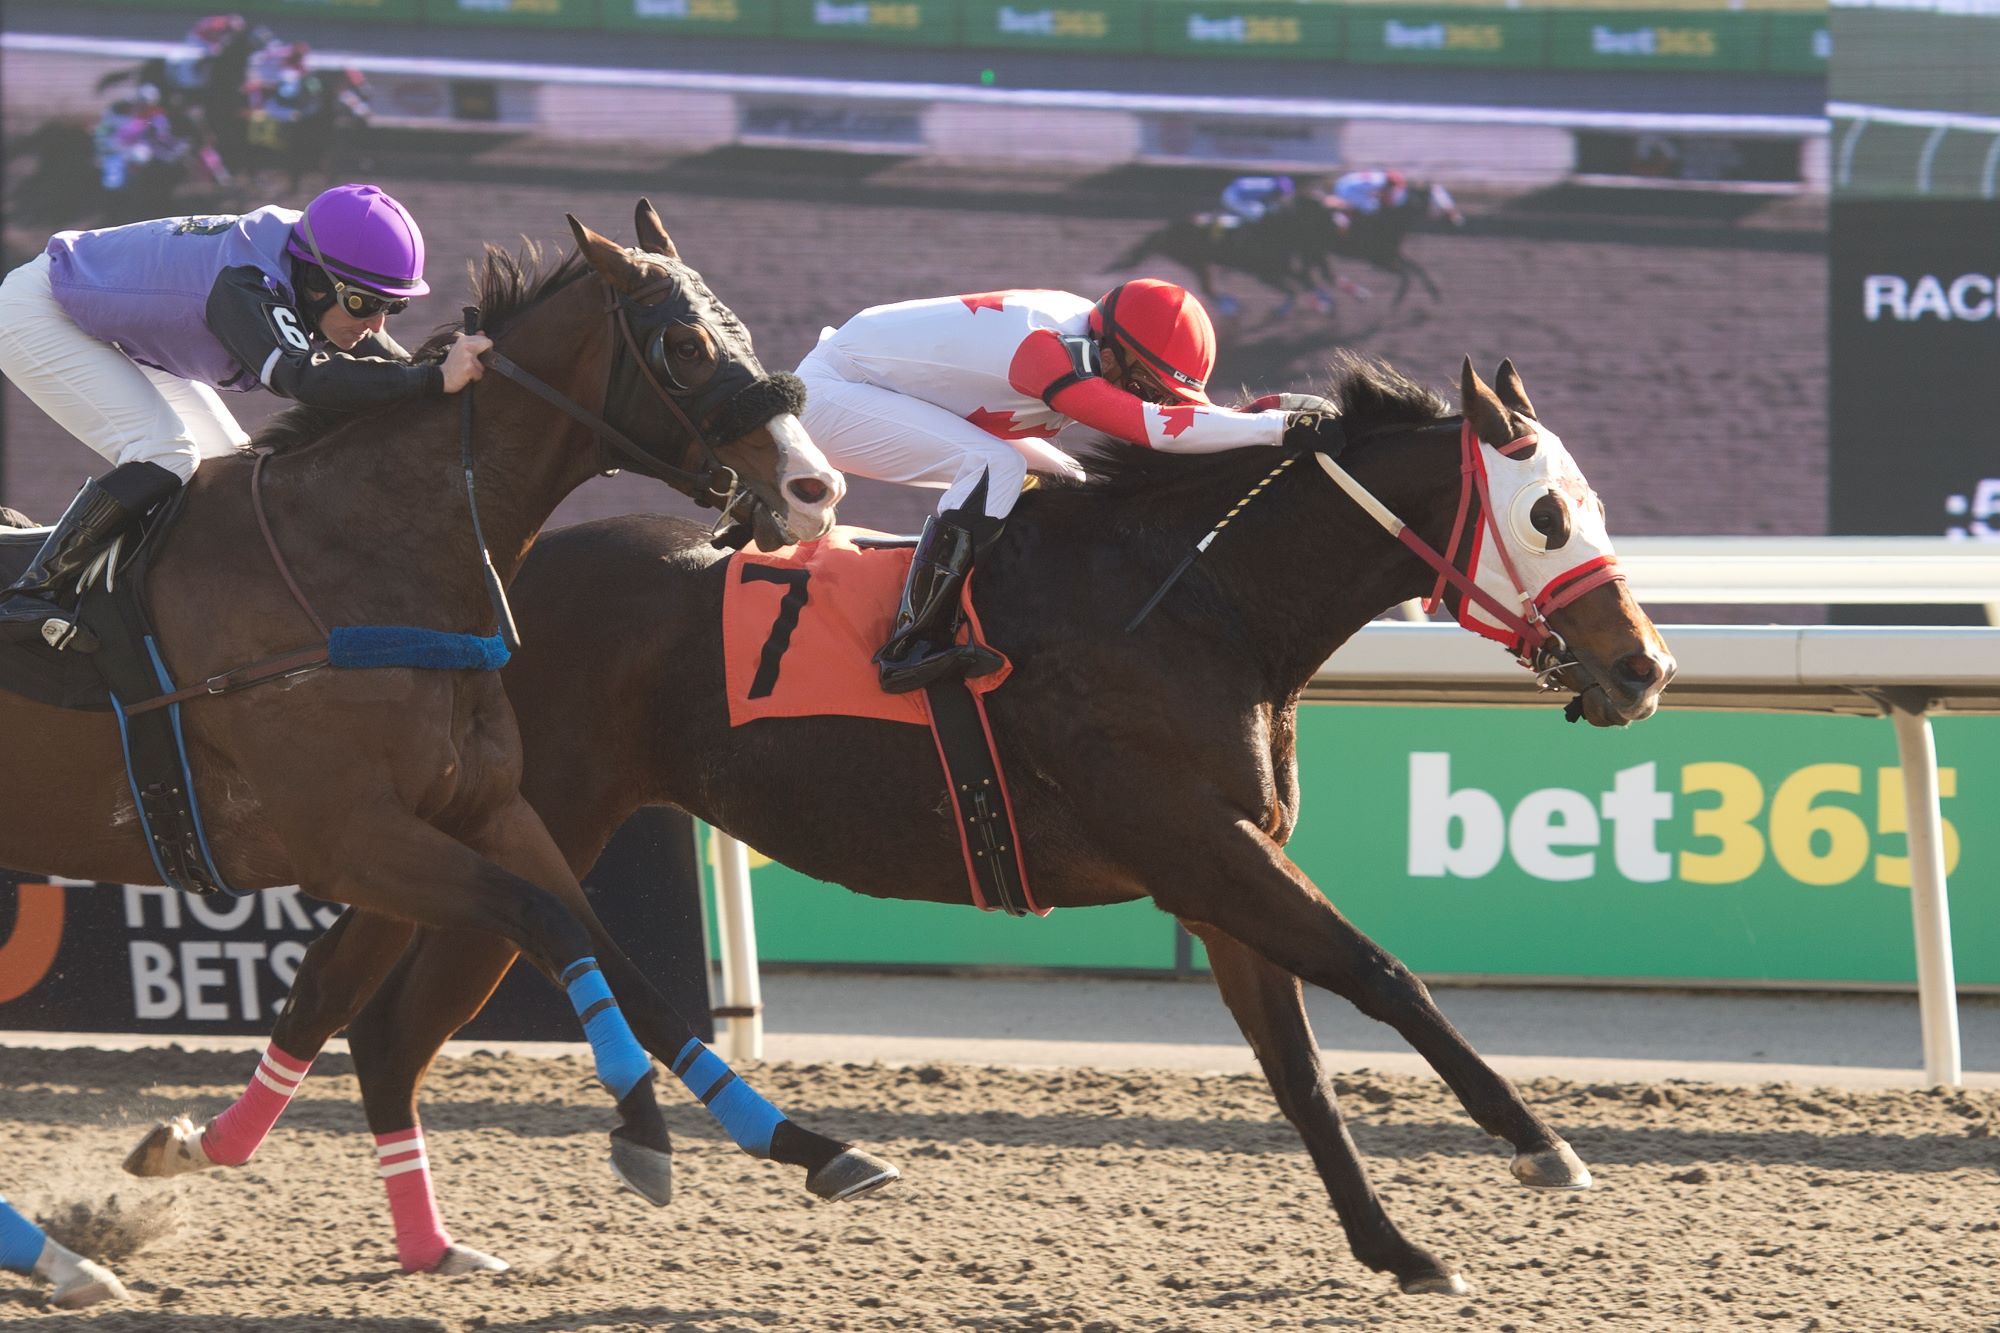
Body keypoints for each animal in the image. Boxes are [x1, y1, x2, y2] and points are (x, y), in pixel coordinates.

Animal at [0, 197, 900, 1264]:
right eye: (683, 346)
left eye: (743, 333)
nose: (816, 490)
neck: (367, 564)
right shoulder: (350, 840)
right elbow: (546, 924)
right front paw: (640, 1126)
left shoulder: (490, 809)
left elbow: (615, 955)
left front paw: (811, 1145)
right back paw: (64, 1264)